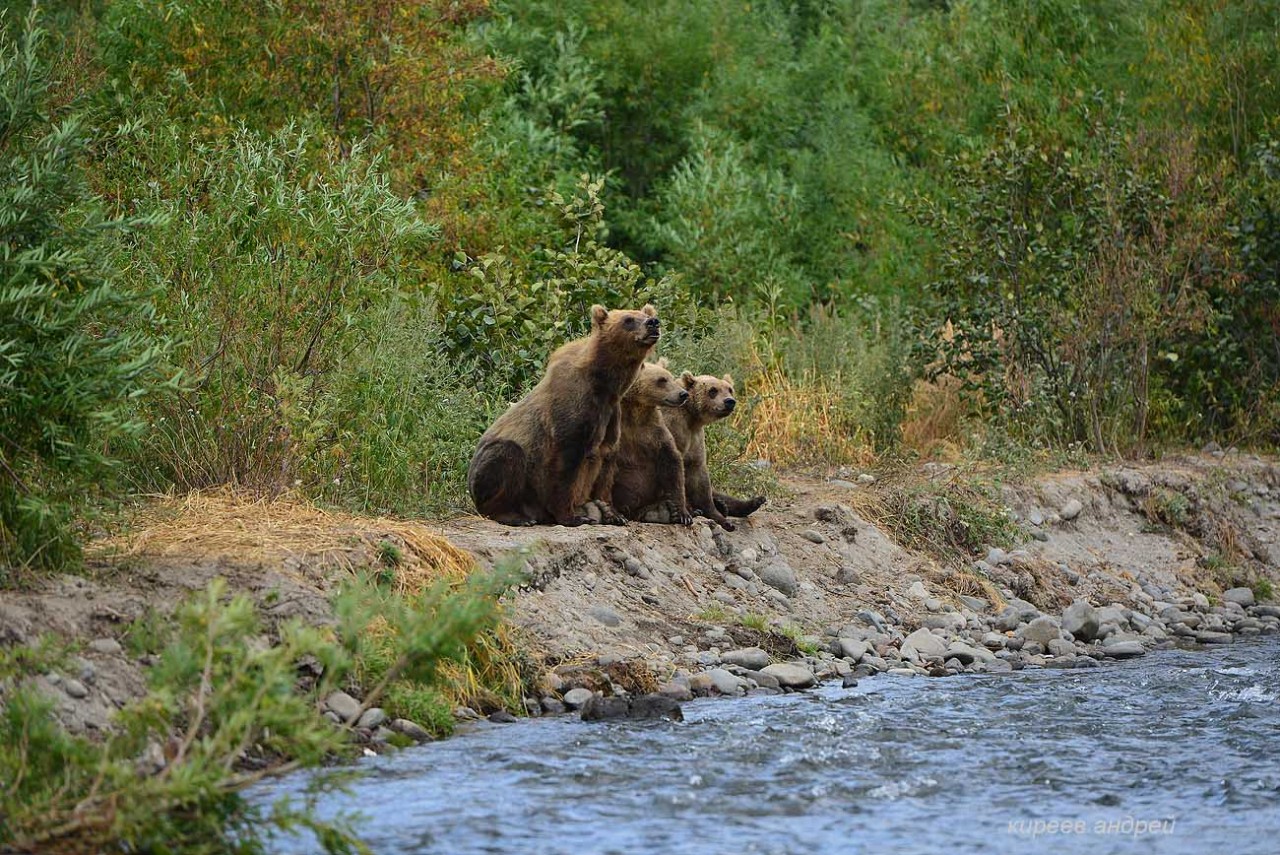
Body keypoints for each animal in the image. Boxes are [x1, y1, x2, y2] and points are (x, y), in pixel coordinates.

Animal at [465, 303, 660, 524]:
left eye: (644, 314)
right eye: (628, 319)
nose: (653, 323)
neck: (605, 386)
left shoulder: (610, 416)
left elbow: (605, 466)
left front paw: (614, 514)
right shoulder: (572, 413)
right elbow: (565, 466)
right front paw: (573, 516)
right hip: (492, 471)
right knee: (506, 456)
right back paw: (516, 516)